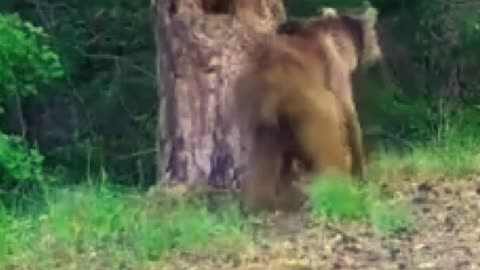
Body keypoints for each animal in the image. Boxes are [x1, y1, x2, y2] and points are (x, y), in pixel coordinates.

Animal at [236, 6, 382, 213]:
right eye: (375, 35)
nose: (378, 53)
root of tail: (270, 87)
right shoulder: (337, 74)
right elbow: (350, 116)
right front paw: (361, 174)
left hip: (260, 120)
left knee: (262, 162)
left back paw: (260, 203)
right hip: (311, 106)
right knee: (329, 145)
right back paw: (338, 191)